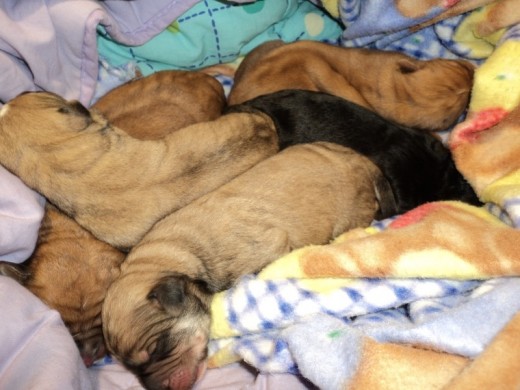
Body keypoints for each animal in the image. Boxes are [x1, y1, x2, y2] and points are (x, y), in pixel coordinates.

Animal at [100, 141, 394, 390]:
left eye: (157, 349)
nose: (156, 387)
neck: (175, 254)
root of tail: (361, 161)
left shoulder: (266, 248)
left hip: (351, 213)